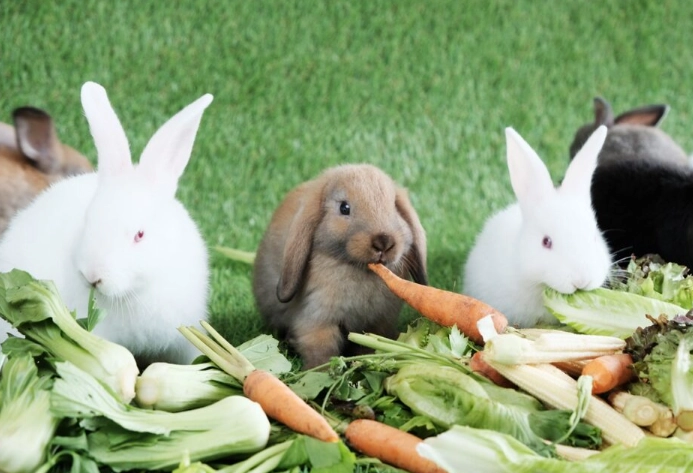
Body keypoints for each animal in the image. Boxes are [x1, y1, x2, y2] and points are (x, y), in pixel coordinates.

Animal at [252, 163, 428, 369]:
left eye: (394, 206)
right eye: (344, 208)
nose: (383, 242)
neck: (359, 270)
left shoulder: (378, 323)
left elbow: (370, 346)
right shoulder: (316, 320)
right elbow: (321, 351)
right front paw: (321, 372)